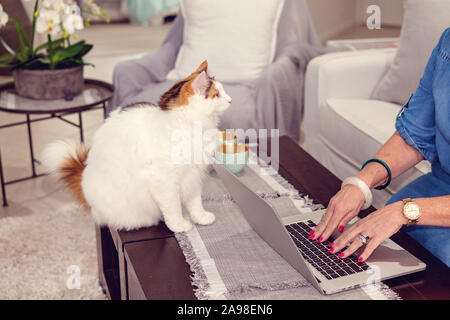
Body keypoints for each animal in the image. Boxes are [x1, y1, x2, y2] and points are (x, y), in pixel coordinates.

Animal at [42, 61, 232, 231]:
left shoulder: (194, 175)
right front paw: (179, 225)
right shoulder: (164, 181)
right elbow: (173, 207)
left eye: (223, 92)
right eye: (217, 95)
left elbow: (195, 201)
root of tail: (83, 177)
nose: (230, 100)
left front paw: (200, 217)